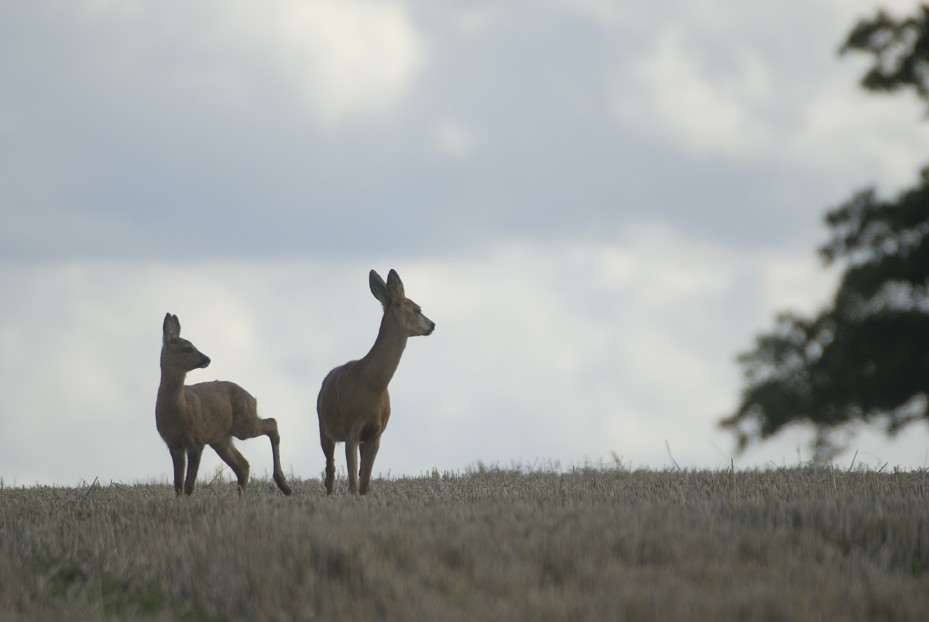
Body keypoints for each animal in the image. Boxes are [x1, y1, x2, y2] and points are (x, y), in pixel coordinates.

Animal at [155, 313, 293, 496]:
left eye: (194, 345)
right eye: (187, 348)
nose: (207, 359)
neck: (179, 409)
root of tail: (252, 398)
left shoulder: (197, 439)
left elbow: (189, 484)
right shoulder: (173, 443)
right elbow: (178, 484)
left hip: (243, 425)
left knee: (272, 424)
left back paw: (284, 485)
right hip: (221, 438)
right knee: (243, 465)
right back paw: (243, 496)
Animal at [316, 269, 435, 495]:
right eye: (418, 309)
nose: (433, 325)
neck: (372, 386)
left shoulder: (376, 433)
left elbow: (364, 484)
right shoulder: (351, 429)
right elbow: (353, 484)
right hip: (323, 427)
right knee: (330, 468)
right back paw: (328, 493)